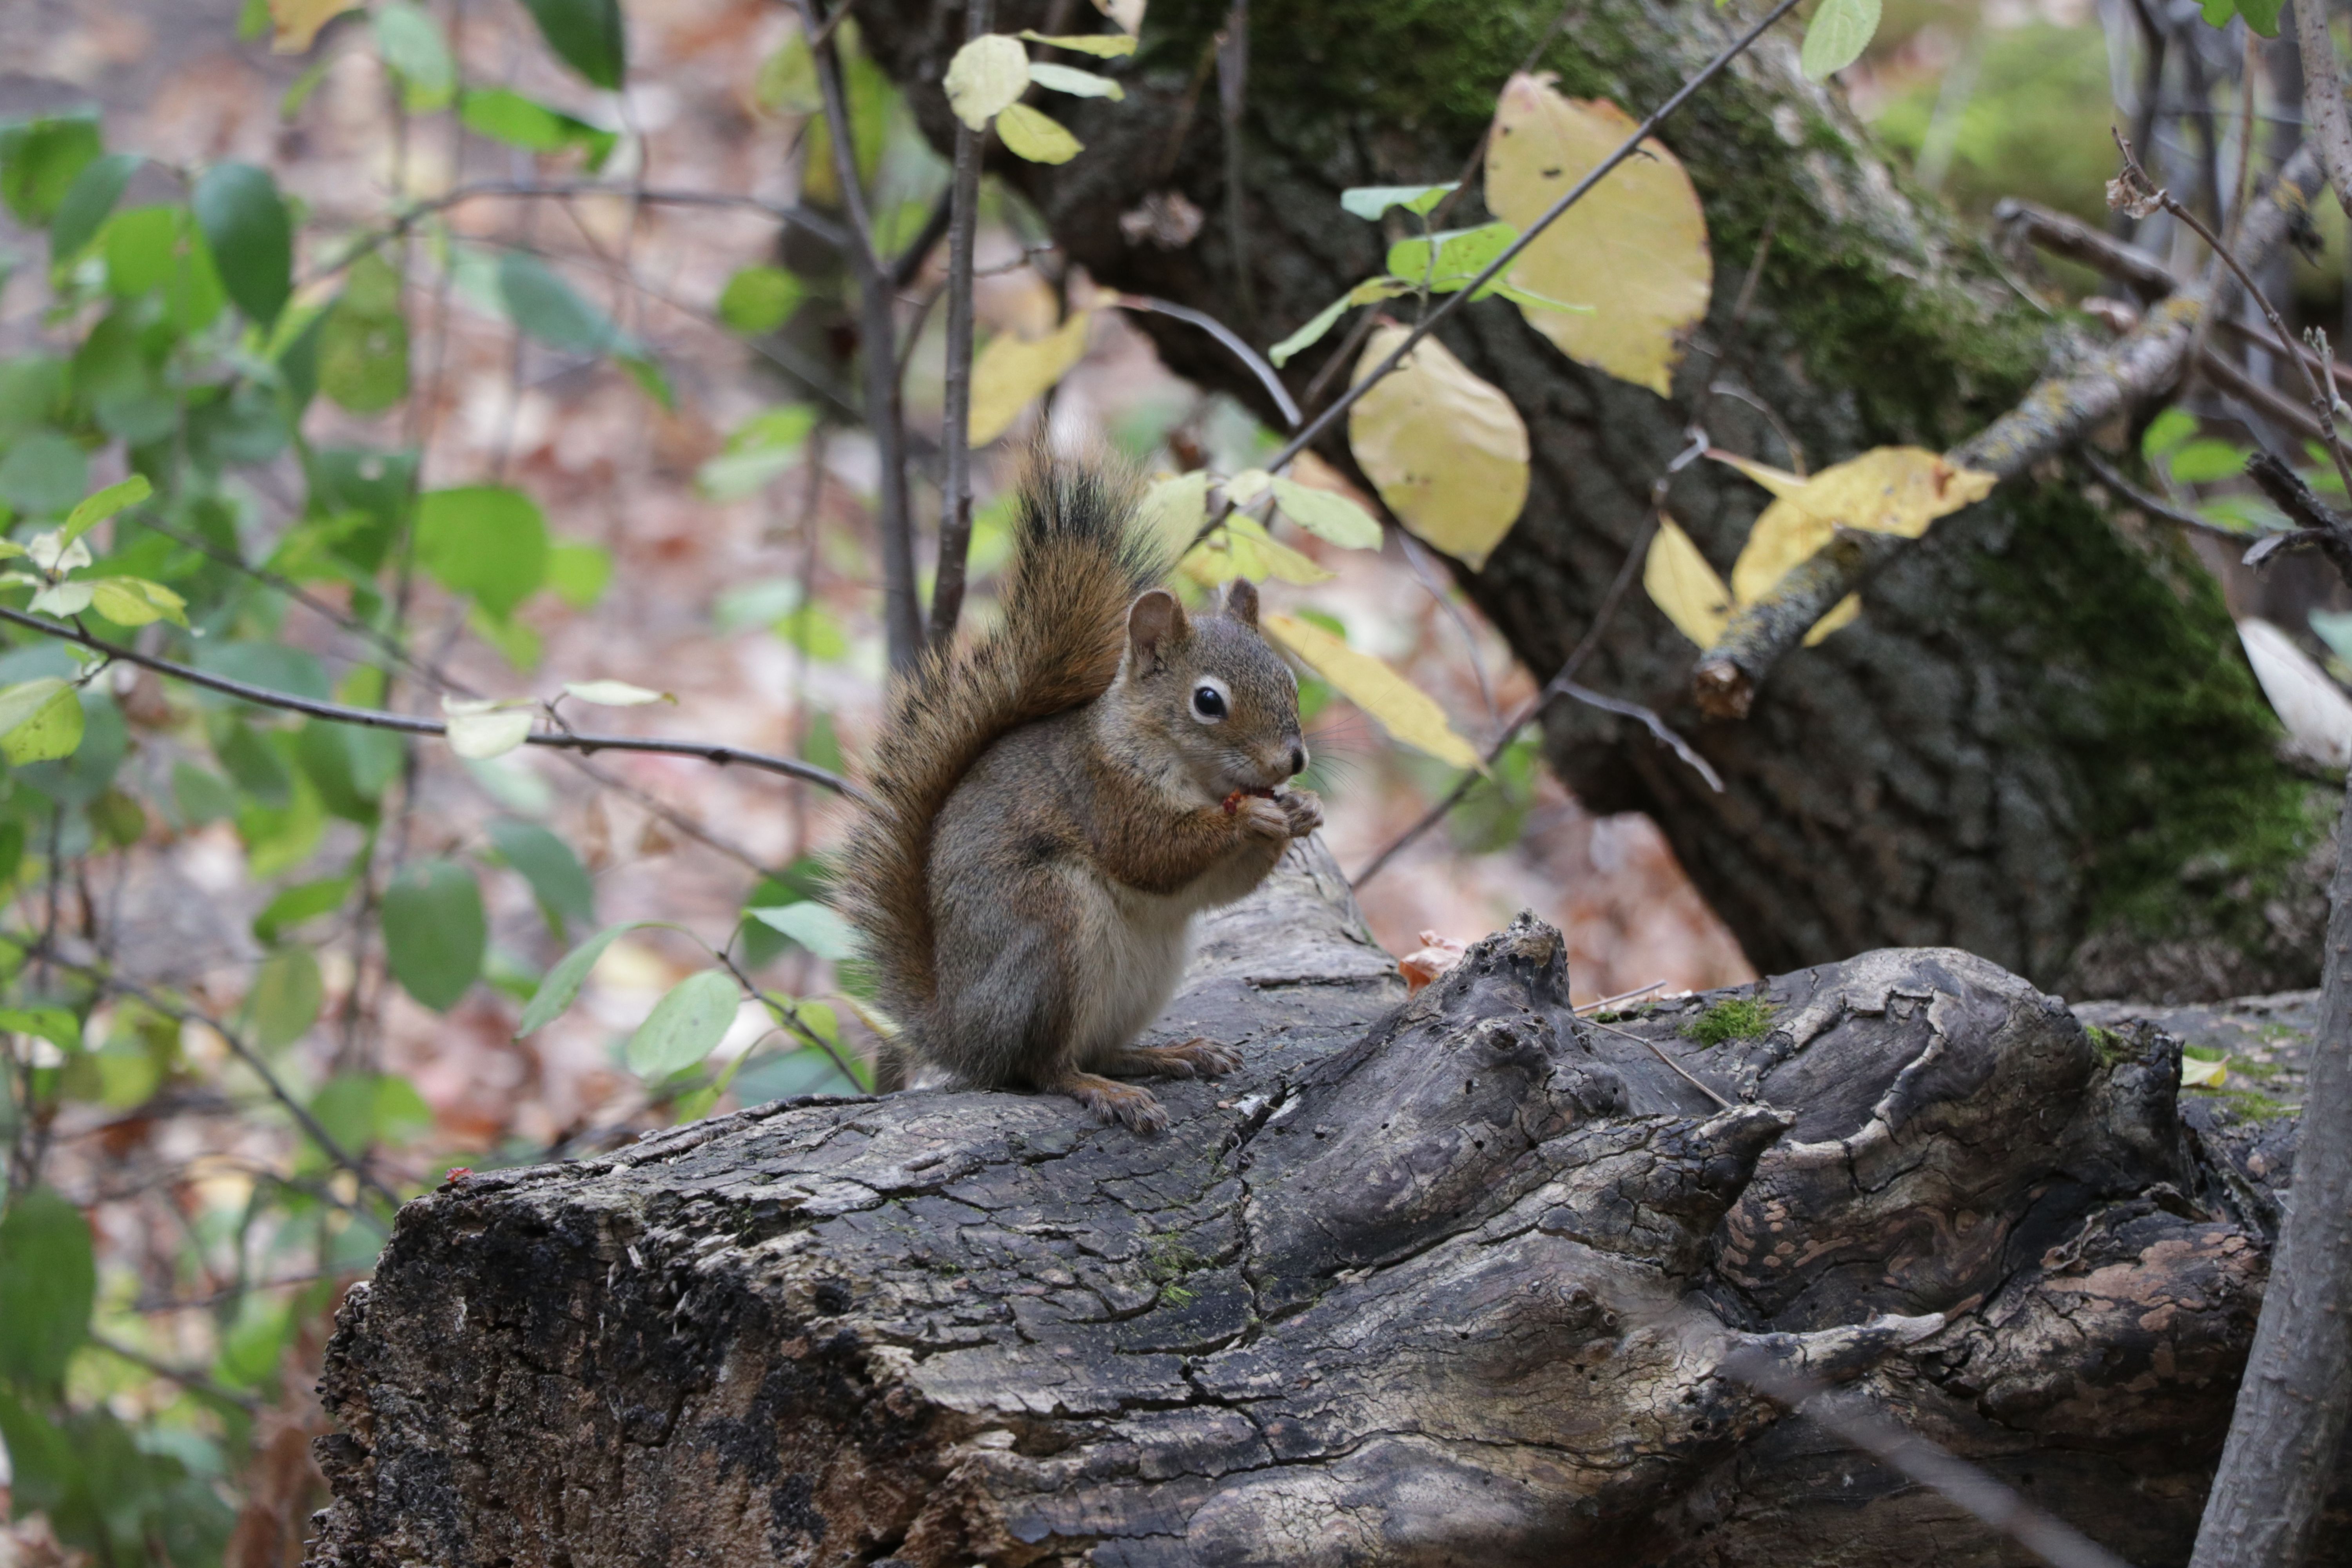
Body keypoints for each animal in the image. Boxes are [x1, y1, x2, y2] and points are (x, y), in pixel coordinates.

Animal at [840, 458, 1321, 1133]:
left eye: (1289, 682)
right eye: (1208, 701)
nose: (1293, 761)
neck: (1196, 776)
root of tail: (962, 1034)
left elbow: (1220, 888)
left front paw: (1302, 810)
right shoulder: (1101, 789)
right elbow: (1150, 853)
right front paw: (1252, 817)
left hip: (1144, 975)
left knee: (1100, 1049)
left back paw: (1170, 1054)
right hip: (1052, 929)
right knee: (1044, 1068)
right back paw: (1104, 1089)